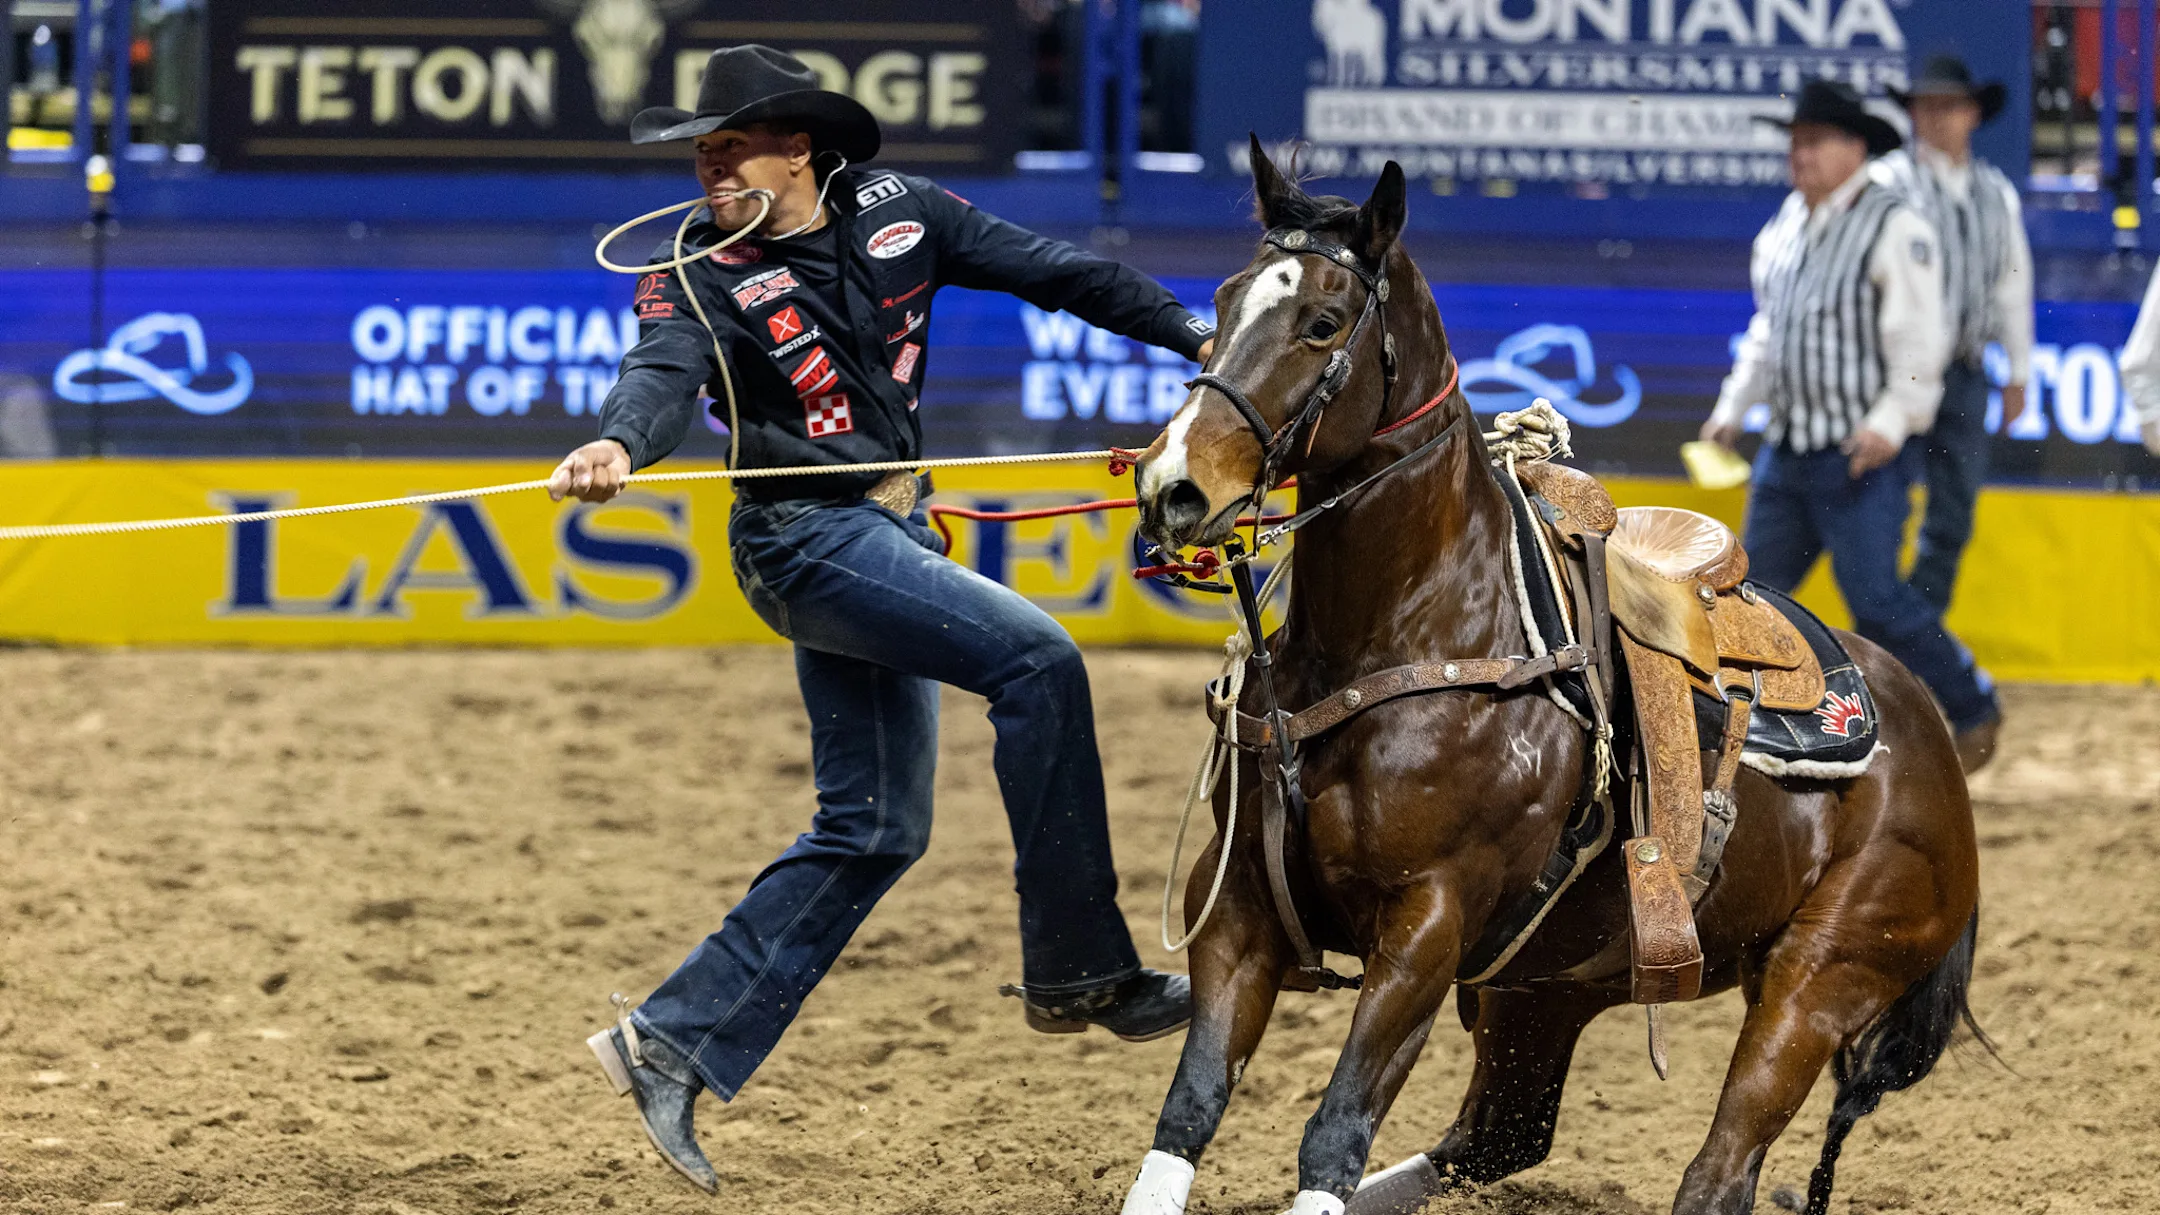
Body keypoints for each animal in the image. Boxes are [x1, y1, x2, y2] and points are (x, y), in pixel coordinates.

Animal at [1115, 139, 1987, 1215]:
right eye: (1224, 301)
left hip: (1822, 978)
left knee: (1718, 1166)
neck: (1410, 637)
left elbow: (1333, 1136)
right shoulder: (1238, 909)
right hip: (1545, 991)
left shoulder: (1427, 928)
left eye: (1321, 320)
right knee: (1497, 1139)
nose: (1173, 485)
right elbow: (1188, 1110)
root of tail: (1929, 735)